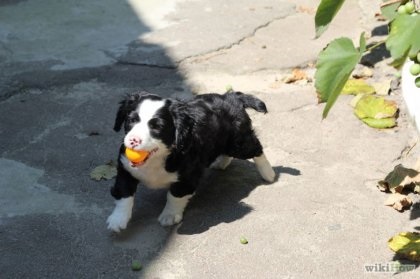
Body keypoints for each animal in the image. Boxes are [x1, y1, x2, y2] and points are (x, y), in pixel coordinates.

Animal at [106, 91, 274, 232]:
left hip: (239, 142)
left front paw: (169, 215)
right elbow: (124, 193)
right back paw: (221, 162)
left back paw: (269, 174)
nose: (133, 141)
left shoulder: (188, 175)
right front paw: (118, 219)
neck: (159, 157)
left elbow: (175, 195)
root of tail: (231, 97)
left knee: (256, 148)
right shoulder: (126, 168)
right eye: (131, 120)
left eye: (157, 127)